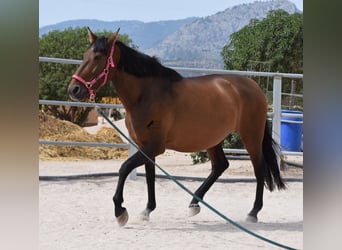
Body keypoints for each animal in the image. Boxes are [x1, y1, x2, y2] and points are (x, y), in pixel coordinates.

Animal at [67, 27, 286, 227]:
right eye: (84, 56)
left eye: (97, 57)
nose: (74, 89)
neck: (147, 95)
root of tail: (254, 86)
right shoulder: (145, 146)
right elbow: (149, 176)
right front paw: (147, 210)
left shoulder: (155, 146)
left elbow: (124, 168)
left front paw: (120, 210)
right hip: (212, 138)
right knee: (220, 165)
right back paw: (194, 204)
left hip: (251, 135)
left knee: (259, 168)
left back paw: (253, 213)